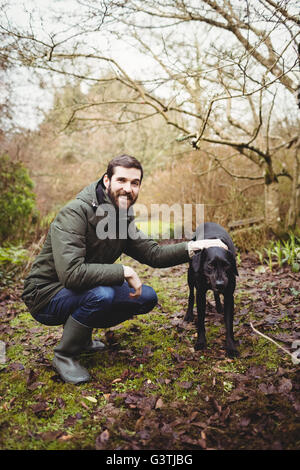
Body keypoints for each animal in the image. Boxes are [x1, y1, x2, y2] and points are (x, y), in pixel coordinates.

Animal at [184, 222, 240, 358]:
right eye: (210, 265)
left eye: (226, 265)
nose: (220, 284)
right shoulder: (200, 295)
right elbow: (200, 320)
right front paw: (200, 341)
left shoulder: (229, 296)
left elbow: (229, 324)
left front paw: (231, 347)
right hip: (190, 275)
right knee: (191, 294)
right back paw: (189, 314)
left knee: (215, 293)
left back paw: (219, 306)